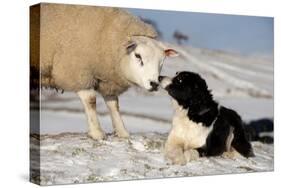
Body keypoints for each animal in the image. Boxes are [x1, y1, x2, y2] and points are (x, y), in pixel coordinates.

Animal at [29, 3, 177, 140]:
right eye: (137, 56)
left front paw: (122, 132)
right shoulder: (78, 73)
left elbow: (114, 105)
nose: (154, 84)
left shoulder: (108, 81)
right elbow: (91, 101)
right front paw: (97, 133)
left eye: (162, 61)